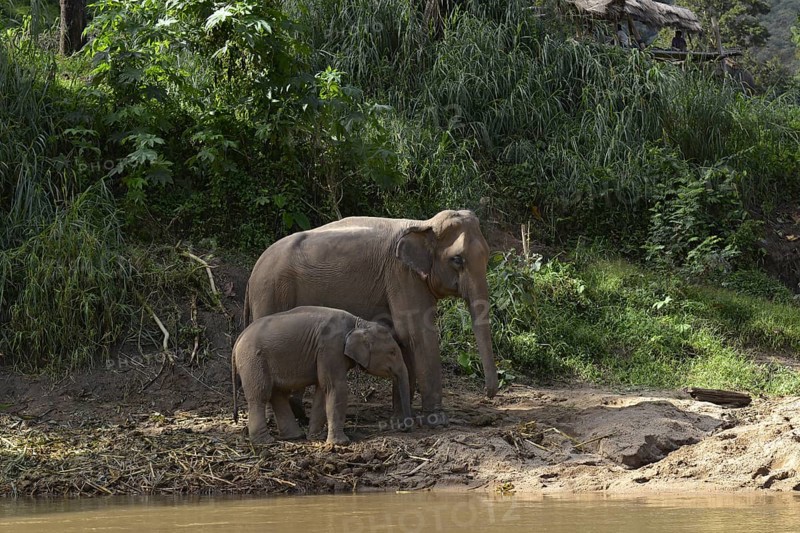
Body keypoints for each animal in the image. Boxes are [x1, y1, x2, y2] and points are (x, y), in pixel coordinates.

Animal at [231, 306, 413, 445]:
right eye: (392, 352)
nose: (405, 428)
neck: (359, 323)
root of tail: (238, 339)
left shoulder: (326, 353)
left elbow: (323, 389)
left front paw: (316, 437)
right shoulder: (331, 347)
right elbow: (336, 387)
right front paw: (341, 443)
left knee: (278, 394)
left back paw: (295, 436)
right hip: (254, 361)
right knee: (261, 395)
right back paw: (266, 442)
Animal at [243, 209, 498, 424]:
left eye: (487, 256)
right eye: (458, 259)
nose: (488, 394)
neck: (424, 224)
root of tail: (252, 274)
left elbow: (405, 339)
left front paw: (401, 419)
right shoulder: (402, 276)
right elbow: (417, 334)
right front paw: (436, 420)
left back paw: (300, 417)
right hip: (271, 293)